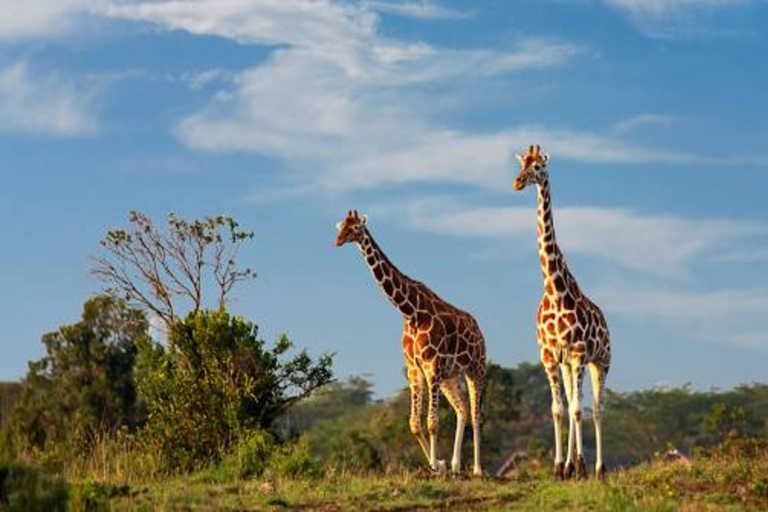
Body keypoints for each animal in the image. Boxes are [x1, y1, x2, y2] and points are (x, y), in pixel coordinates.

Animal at [334, 210, 486, 474]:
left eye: (355, 229)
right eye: (342, 225)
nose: (338, 240)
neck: (410, 311)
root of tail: (479, 330)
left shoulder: (431, 364)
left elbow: (433, 422)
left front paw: (436, 466)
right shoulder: (414, 367)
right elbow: (415, 423)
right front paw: (438, 464)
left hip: (475, 368)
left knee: (477, 415)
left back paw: (477, 469)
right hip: (450, 377)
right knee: (463, 409)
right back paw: (456, 465)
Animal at [512, 146, 616, 482]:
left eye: (538, 167)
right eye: (521, 164)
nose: (517, 182)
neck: (555, 290)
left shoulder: (580, 352)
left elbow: (578, 409)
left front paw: (580, 465)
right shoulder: (549, 354)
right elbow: (559, 409)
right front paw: (560, 467)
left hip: (601, 361)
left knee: (596, 408)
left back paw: (597, 468)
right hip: (570, 364)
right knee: (573, 402)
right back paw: (571, 465)